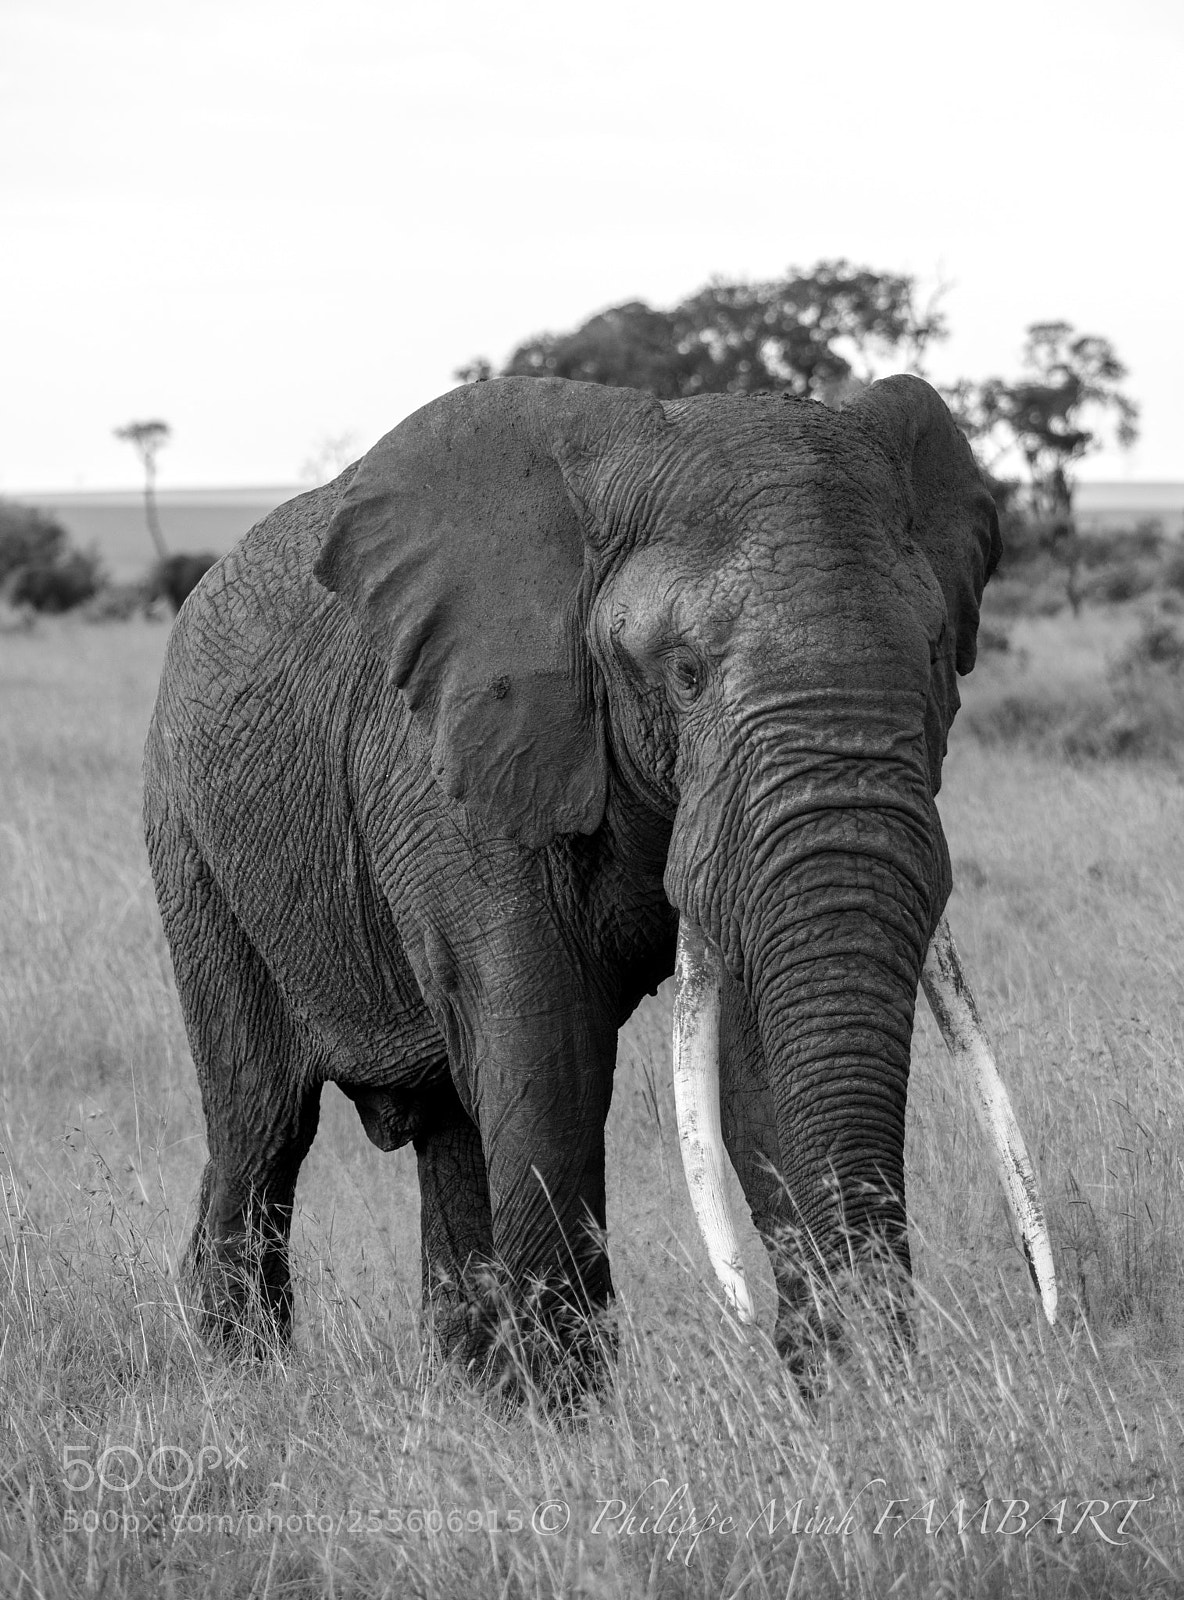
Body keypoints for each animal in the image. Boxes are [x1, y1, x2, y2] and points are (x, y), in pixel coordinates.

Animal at [143, 374, 1055, 1381]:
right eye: (685, 672)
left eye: (935, 655)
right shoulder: (454, 761)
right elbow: (547, 1059)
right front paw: (574, 1410)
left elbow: (757, 1070)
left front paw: (844, 1386)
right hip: (190, 838)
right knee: (260, 1122)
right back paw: (245, 1379)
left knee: (449, 1130)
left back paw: (469, 1395)